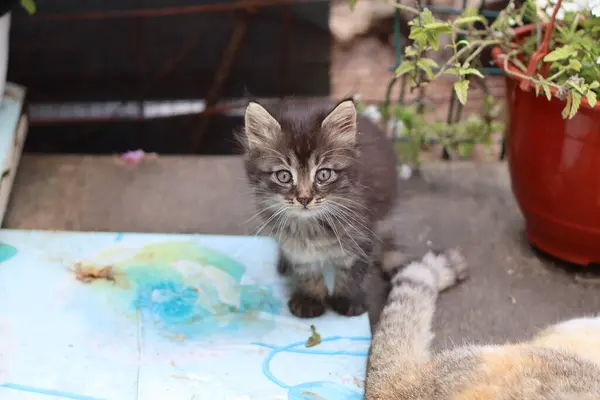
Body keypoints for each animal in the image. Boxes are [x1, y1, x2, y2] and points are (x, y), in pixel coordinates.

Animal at [239, 99, 398, 318]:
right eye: (283, 176)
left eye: (323, 174)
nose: (305, 198)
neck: (311, 226)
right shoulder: (296, 246)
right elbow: (307, 270)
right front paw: (311, 299)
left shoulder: (361, 234)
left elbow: (352, 270)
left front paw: (347, 299)